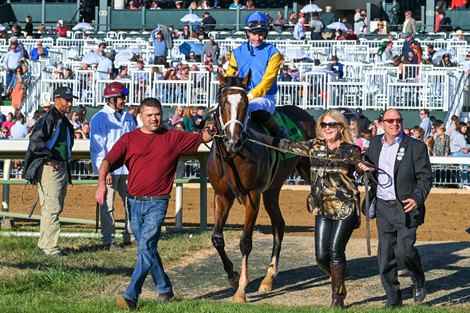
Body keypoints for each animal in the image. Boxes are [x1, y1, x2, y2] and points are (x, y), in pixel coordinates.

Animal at [208, 73, 316, 302]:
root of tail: (305, 113)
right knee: (279, 225)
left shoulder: (253, 195)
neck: (234, 156)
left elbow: (245, 242)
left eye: (245, 103)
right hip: (272, 189)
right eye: (222, 102)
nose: (233, 140)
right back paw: (268, 277)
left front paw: (241, 290)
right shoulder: (222, 195)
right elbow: (217, 238)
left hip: (309, 171)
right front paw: (232, 277)